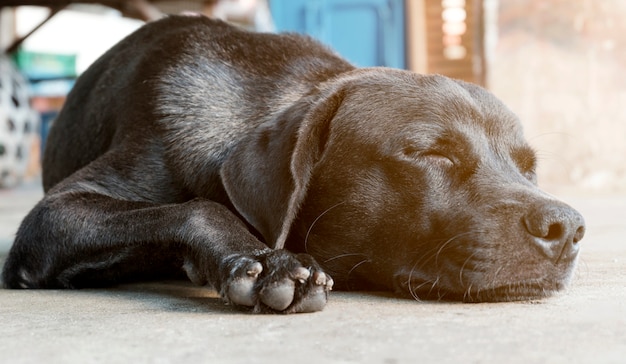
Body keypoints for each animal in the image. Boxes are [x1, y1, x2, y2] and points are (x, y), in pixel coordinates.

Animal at [2, 15, 584, 312]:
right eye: (430, 153)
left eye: (528, 168)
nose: (569, 226)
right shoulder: (52, 216)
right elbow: (198, 208)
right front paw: (266, 262)